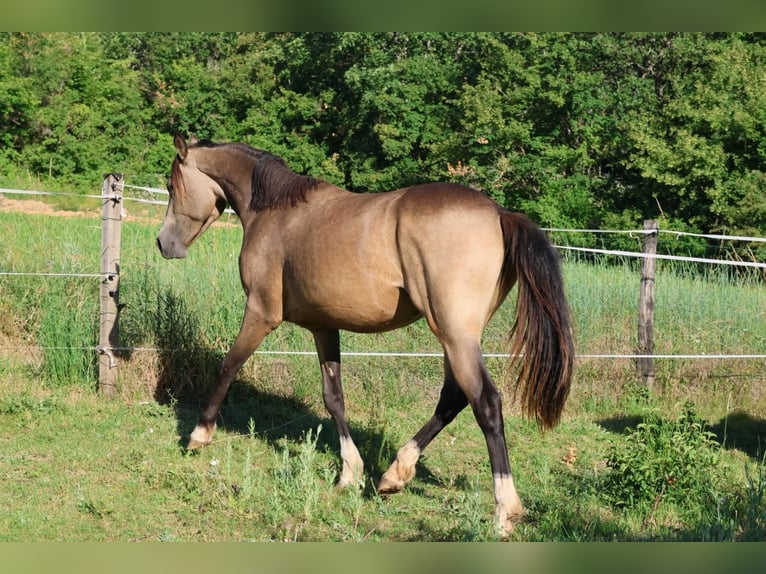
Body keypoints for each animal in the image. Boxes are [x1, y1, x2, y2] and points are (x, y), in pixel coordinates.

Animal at [156, 134, 574, 535]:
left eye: (171, 184)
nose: (163, 243)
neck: (274, 213)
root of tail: (500, 214)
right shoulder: (324, 326)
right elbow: (334, 397)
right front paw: (349, 472)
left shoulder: (261, 313)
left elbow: (228, 366)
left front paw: (199, 434)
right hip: (455, 338)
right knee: (452, 398)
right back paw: (394, 474)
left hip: (455, 336)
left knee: (485, 403)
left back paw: (504, 511)